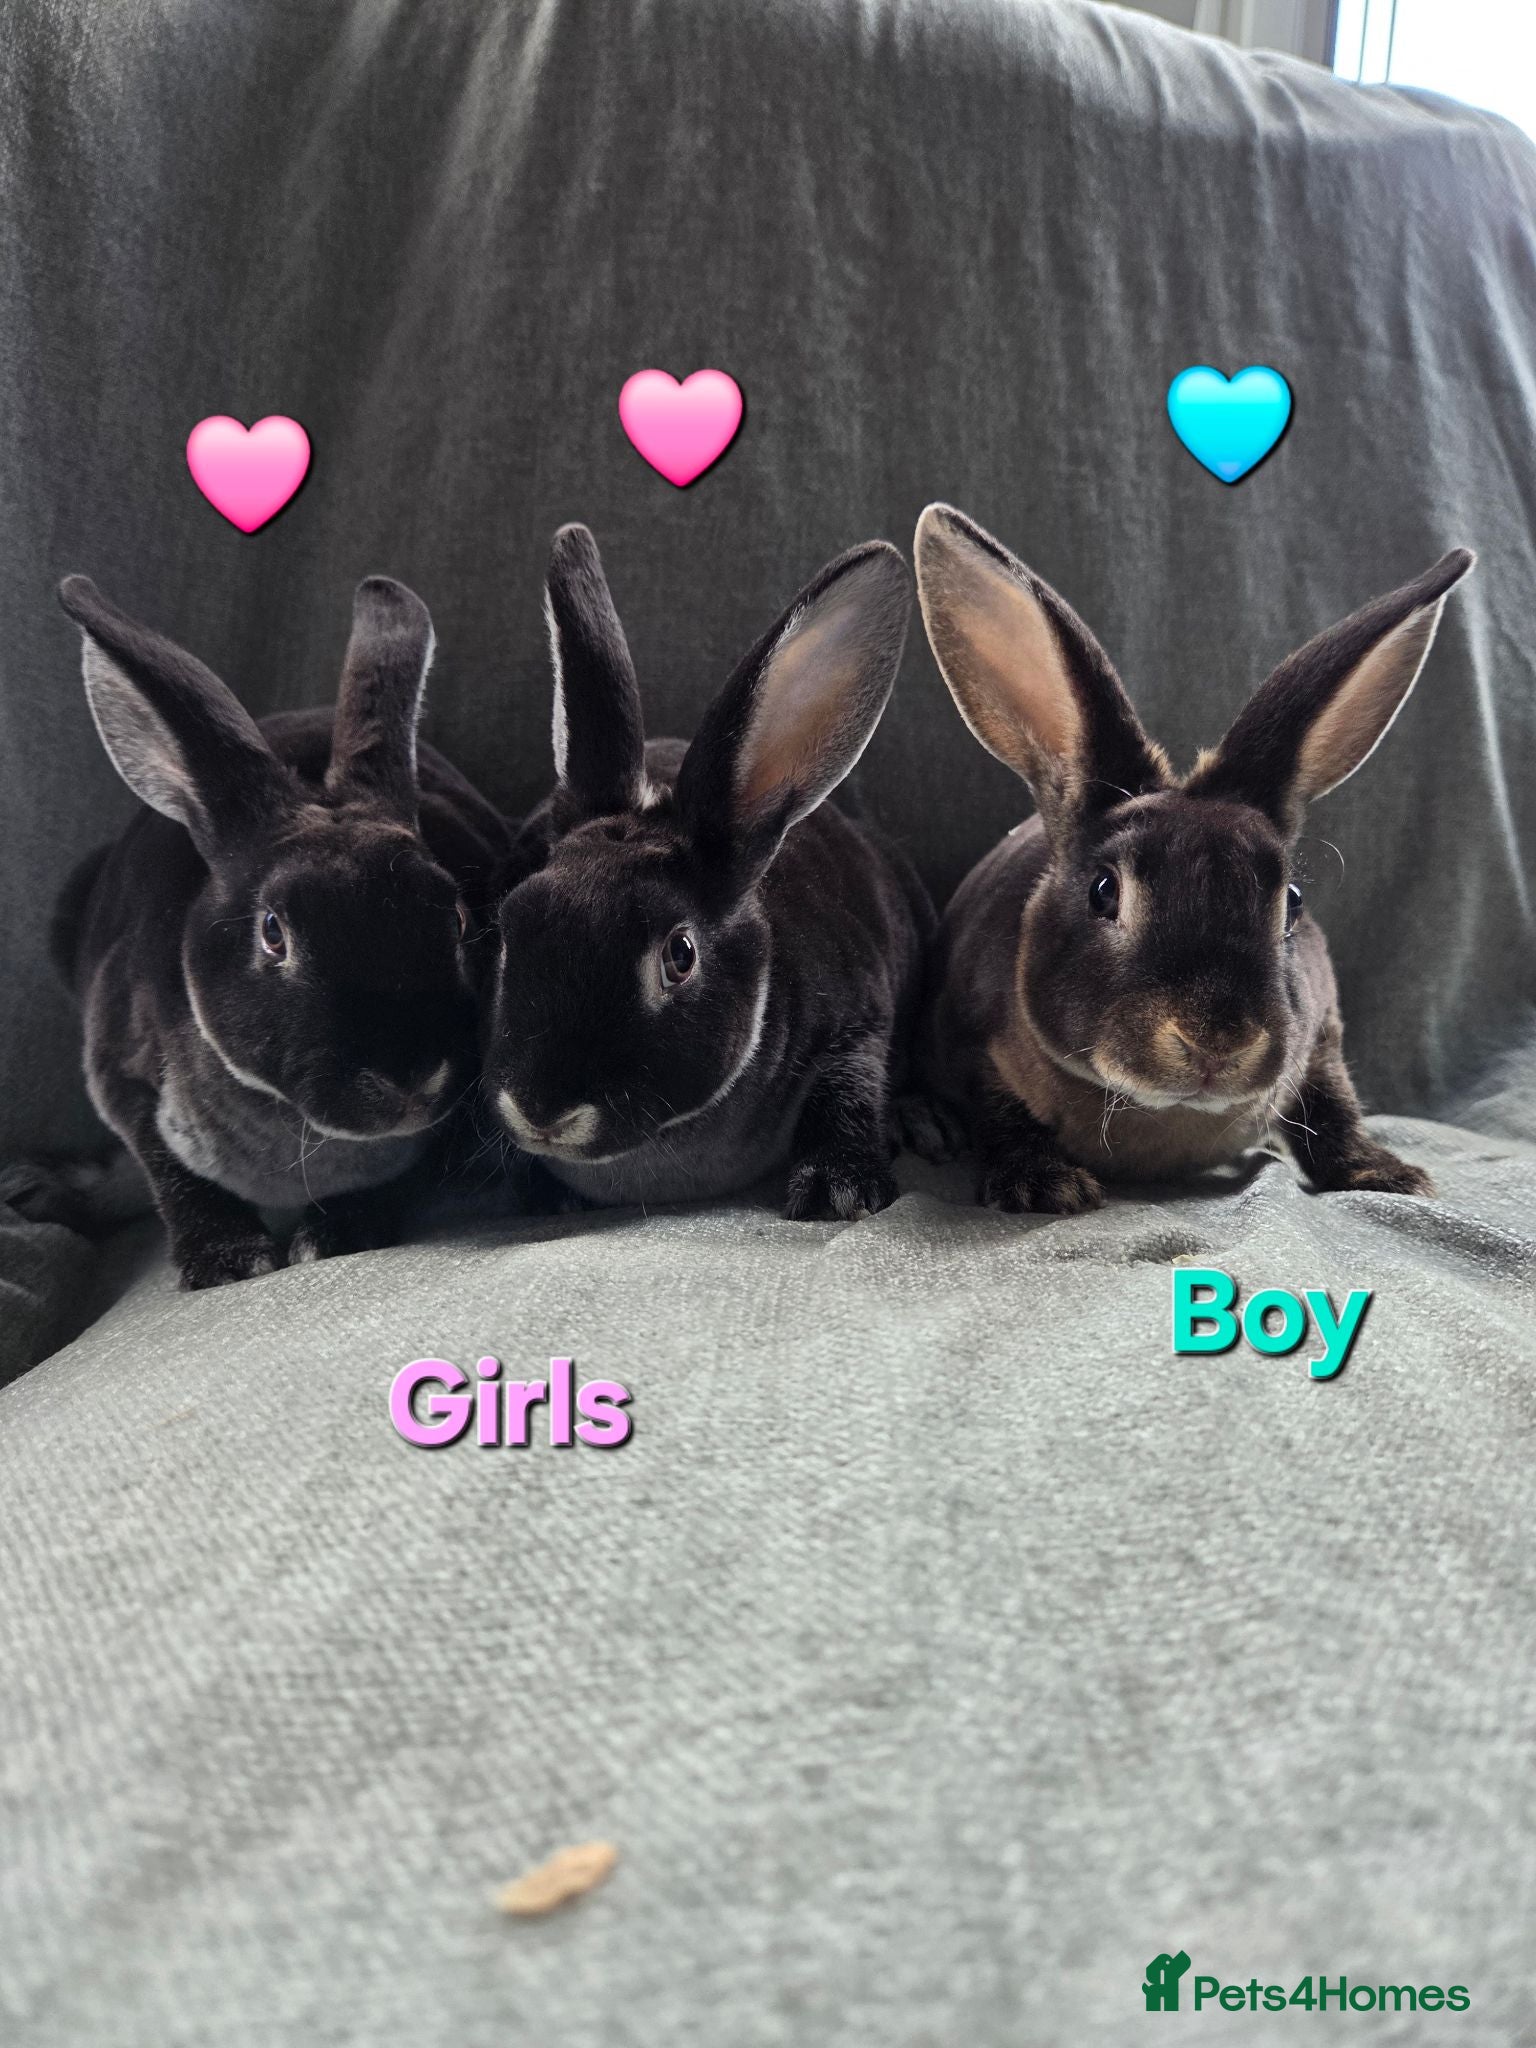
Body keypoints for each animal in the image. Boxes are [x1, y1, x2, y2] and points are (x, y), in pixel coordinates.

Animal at [53, 572, 515, 1288]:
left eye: (458, 917)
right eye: (274, 933)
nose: (412, 1079)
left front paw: (334, 1237)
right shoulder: (120, 1080)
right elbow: (173, 1175)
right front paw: (227, 1263)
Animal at [479, 523, 933, 1218]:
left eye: (680, 955)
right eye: (509, 928)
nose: (540, 1110)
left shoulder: (860, 1023)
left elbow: (851, 1090)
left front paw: (839, 1191)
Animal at [912, 502, 1475, 1212]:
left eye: (1291, 904)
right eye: (1104, 891)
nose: (1215, 1040)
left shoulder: (1322, 1039)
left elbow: (1335, 1108)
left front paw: (1390, 1176)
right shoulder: (975, 1047)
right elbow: (1001, 1115)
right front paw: (1046, 1187)